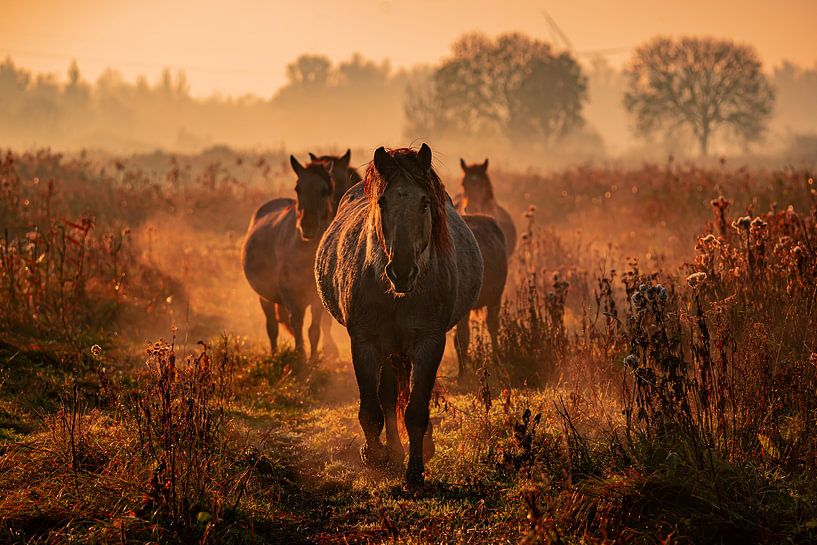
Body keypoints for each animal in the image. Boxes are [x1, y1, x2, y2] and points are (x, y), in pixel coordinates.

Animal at [239, 156, 338, 362]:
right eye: (298, 188)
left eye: (324, 190)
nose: (308, 226)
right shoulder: (292, 296)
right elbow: (297, 325)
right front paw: (300, 357)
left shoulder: (316, 299)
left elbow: (314, 330)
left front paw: (313, 360)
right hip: (265, 296)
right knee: (272, 327)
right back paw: (275, 353)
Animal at [314, 143, 482, 484]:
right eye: (382, 202)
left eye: (425, 203)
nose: (402, 271)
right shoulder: (364, 343)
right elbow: (372, 409)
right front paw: (375, 454)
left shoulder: (430, 343)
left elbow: (416, 410)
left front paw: (415, 471)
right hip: (388, 348)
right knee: (389, 398)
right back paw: (390, 451)